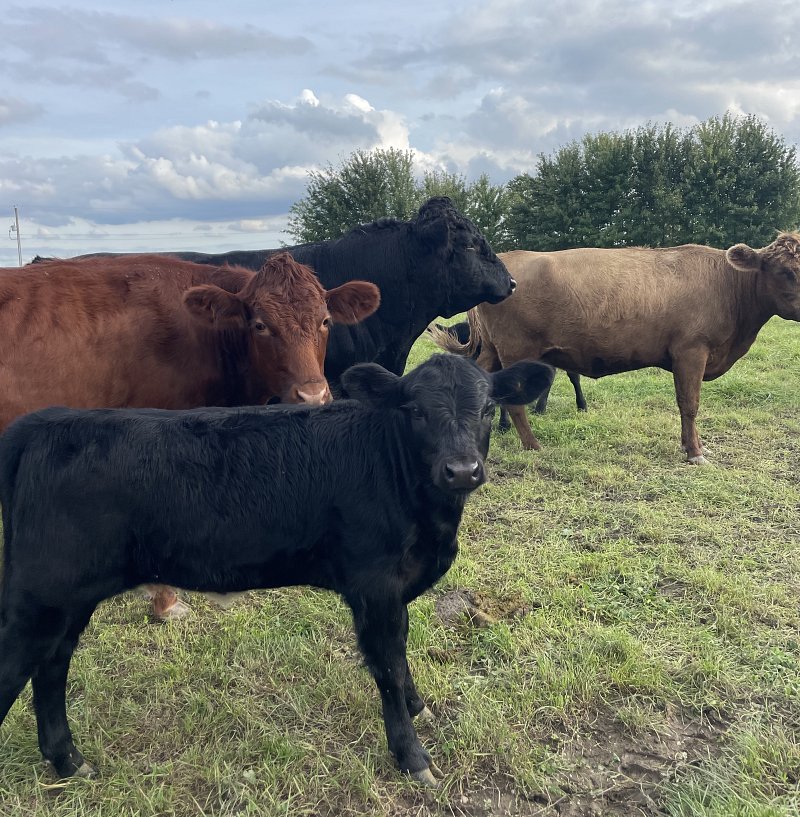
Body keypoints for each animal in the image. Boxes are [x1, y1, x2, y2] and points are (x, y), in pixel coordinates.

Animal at [0, 353, 555, 784]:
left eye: (488, 407)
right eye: (415, 410)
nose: (461, 470)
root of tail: (49, 422)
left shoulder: (394, 593)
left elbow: (399, 661)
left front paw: (420, 707)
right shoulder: (374, 587)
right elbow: (387, 669)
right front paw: (412, 756)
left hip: (67, 598)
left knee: (51, 667)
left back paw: (67, 760)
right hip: (40, 596)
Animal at [432, 235, 800, 462]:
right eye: (786, 271)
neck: (727, 285)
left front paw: (693, 445)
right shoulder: (691, 351)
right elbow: (690, 404)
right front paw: (695, 451)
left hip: (493, 350)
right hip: (516, 350)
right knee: (515, 402)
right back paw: (533, 445)